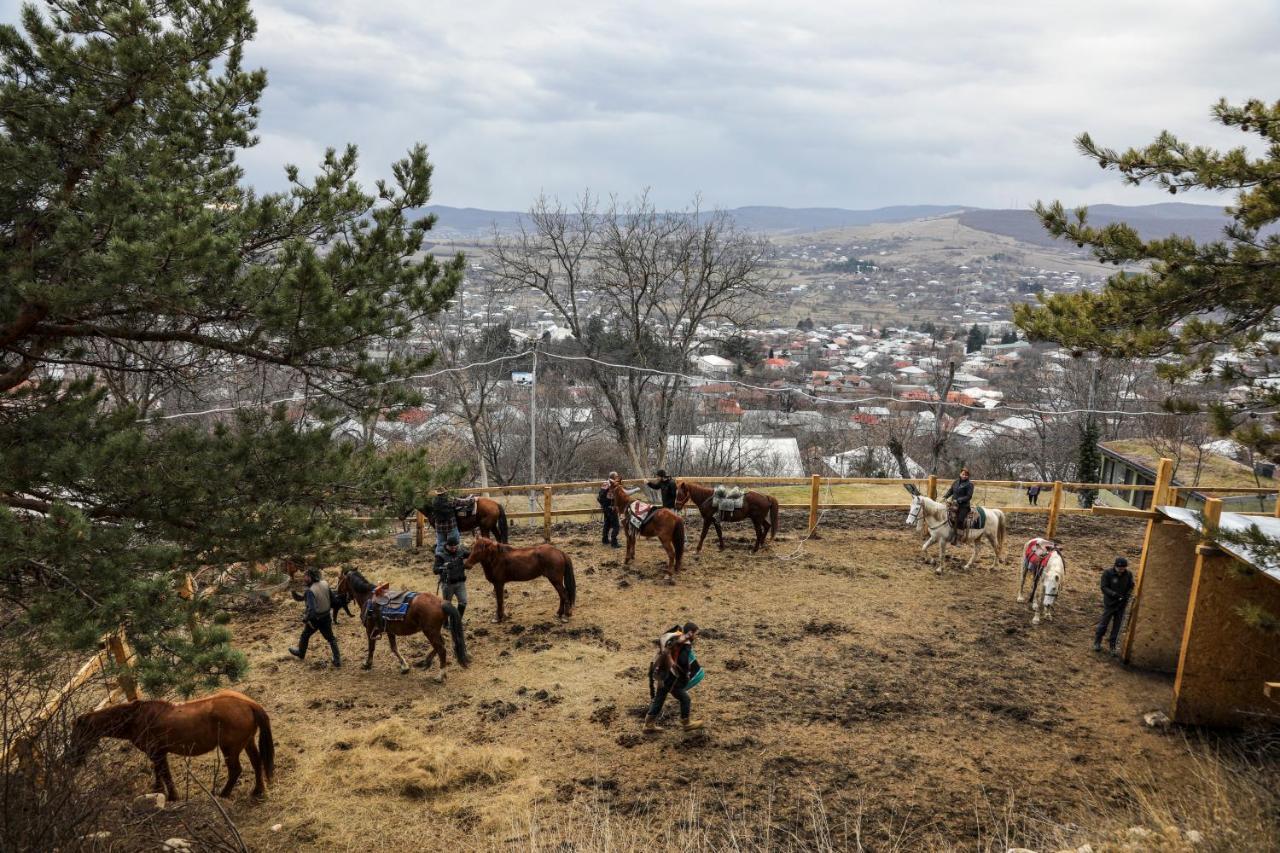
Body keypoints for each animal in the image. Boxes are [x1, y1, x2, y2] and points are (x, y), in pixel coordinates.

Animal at [70, 686, 275, 799]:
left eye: (78, 734)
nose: (73, 759)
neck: (136, 719)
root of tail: (249, 704)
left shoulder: (158, 752)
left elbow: (165, 773)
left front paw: (172, 797)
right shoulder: (156, 753)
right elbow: (158, 771)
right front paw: (157, 789)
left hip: (230, 749)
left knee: (235, 771)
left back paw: (222, 794)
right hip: (247, 742)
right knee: (257, 763)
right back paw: (257, 790)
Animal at [335, 568, 471, 681]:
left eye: (339, 579)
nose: (336, 593)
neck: (367, 597)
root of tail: (441, 602)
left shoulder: (370, 629)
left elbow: (371, 648)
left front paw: (367, 663)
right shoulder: (389, 631)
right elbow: (394, 648)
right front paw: (404, 666)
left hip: (430, 631)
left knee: (441, 649)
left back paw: (440, 675)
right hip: (434, 631)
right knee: (440, 645)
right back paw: (424, 662)